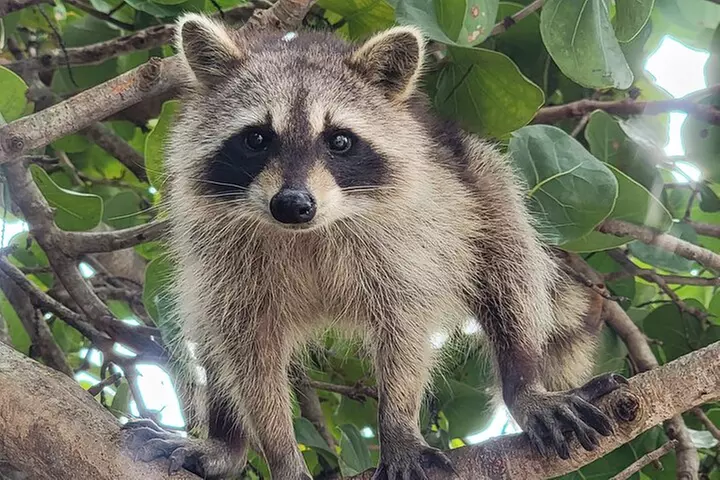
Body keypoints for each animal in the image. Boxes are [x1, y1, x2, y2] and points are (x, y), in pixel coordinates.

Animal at [123, 13, 627, 480]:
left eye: (340, 141)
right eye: (256, 138)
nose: (292, 205)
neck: (310, 233)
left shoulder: (407, 242)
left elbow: (405, 331)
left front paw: (399, 427)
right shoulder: (222, 256)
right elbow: (247, 353)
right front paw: (279, 452)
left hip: (481, 182)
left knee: (510, 271)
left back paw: (524, 383)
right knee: (209, 330)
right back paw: (226, 442)